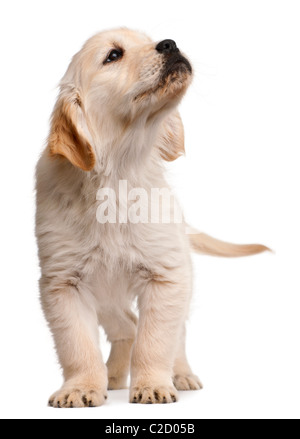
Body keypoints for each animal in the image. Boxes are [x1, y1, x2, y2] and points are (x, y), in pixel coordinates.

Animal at [35, 27, 268, 408]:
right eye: (113, 55)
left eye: (149, 39)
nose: (170, 44)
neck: (118, 174)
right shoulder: (63, 283)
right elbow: (77, 345)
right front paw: (82, 387)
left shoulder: (166, 276)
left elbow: (156, 340)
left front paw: (152, 385)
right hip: (107, 295)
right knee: (127, 325)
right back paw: (113, 375)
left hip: (180, 277)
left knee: (173, 333)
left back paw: (180, 374)